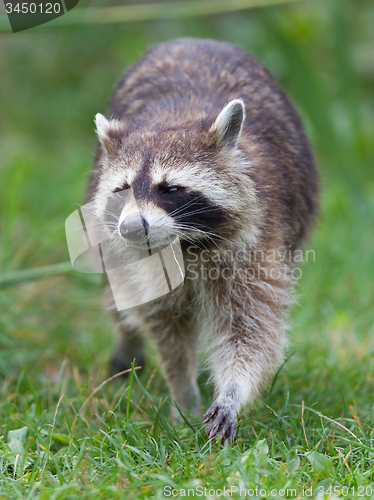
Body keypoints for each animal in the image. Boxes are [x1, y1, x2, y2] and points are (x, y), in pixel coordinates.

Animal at [88, 39, 318, 446]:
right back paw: (126, 340)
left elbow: (251, 330)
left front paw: (232, 391)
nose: (131, 228)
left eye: (171, 189)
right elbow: (167, 330)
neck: (184, 244)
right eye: (123, 189)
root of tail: (189, 40)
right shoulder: (142, 261)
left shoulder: (256, 243)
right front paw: (183, 391)